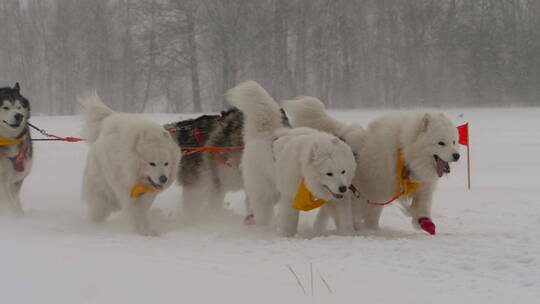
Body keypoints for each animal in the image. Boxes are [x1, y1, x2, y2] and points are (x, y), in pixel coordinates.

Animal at [79, 94, 179, 236]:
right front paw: (142, 231)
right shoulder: (125, 187)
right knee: (100, 206)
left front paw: (147, 229)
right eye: (152, 163)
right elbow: (134, 211)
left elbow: (142, 209)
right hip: (101, 189)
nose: (163, 179)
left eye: (166, 163)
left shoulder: (147, 193)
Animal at [226, 81, 356, 238]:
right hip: (265, 191)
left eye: (343, 171)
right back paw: (262, 229)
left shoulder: (337, 199)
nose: (343, 188)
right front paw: (287, 236)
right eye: (328, 173)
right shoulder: (290, 196)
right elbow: (289, 221)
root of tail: (264, 134)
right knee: (261, 209)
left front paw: (348, 234)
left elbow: (344, 218)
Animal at [282, 97, 460, 235]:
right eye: (441, 143)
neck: (403, 153)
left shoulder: (422, 185)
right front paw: (371, 231)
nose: (457, 156)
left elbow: (423, 204)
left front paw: (424, 222)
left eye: (453, 141)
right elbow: (371, 215)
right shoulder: (374, 191)